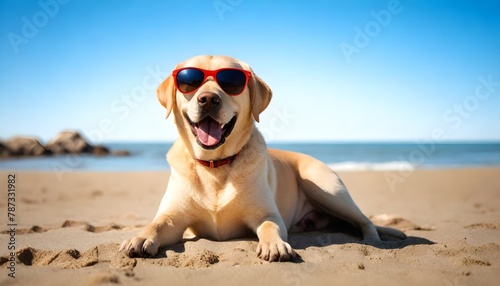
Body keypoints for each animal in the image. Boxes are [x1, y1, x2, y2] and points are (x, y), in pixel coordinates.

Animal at [120, 54, 406, 262]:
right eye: (190, 82)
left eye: (231, 82)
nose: (208, 99)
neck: (215, 166)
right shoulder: (174, 217)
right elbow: (156, 224)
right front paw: (139, 237)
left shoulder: (268, 213)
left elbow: (269, 226)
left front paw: (276, 245)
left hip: (327, 189)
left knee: (365, 220)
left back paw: (370, 239)